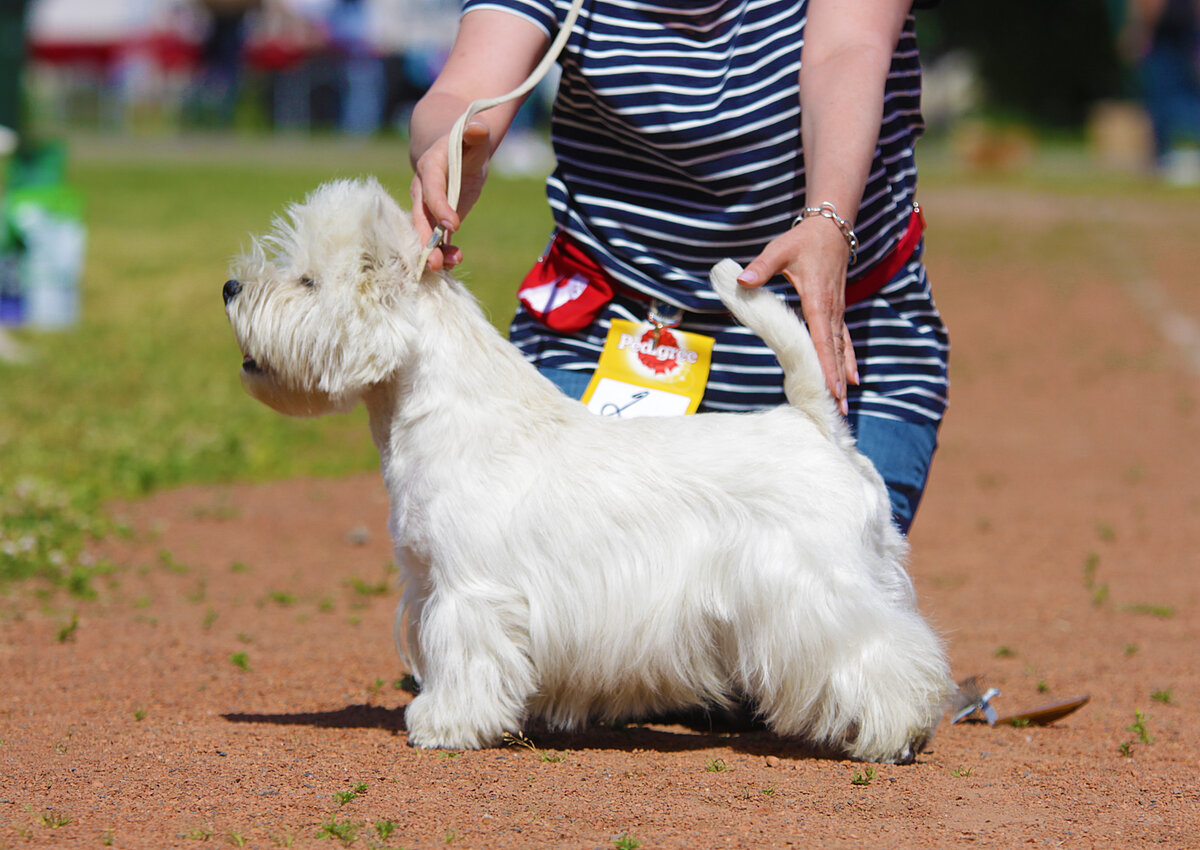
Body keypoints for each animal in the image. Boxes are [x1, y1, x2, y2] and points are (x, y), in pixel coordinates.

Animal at [223, 178, 955, 763]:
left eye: (306, 281)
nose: (230, 286)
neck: (439, 413)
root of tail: (815, 422)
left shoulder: (470, 590)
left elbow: (464, 658)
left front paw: (444, 724)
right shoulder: (428, 581)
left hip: (821, 588)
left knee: (883, 652)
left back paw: (892, 736)